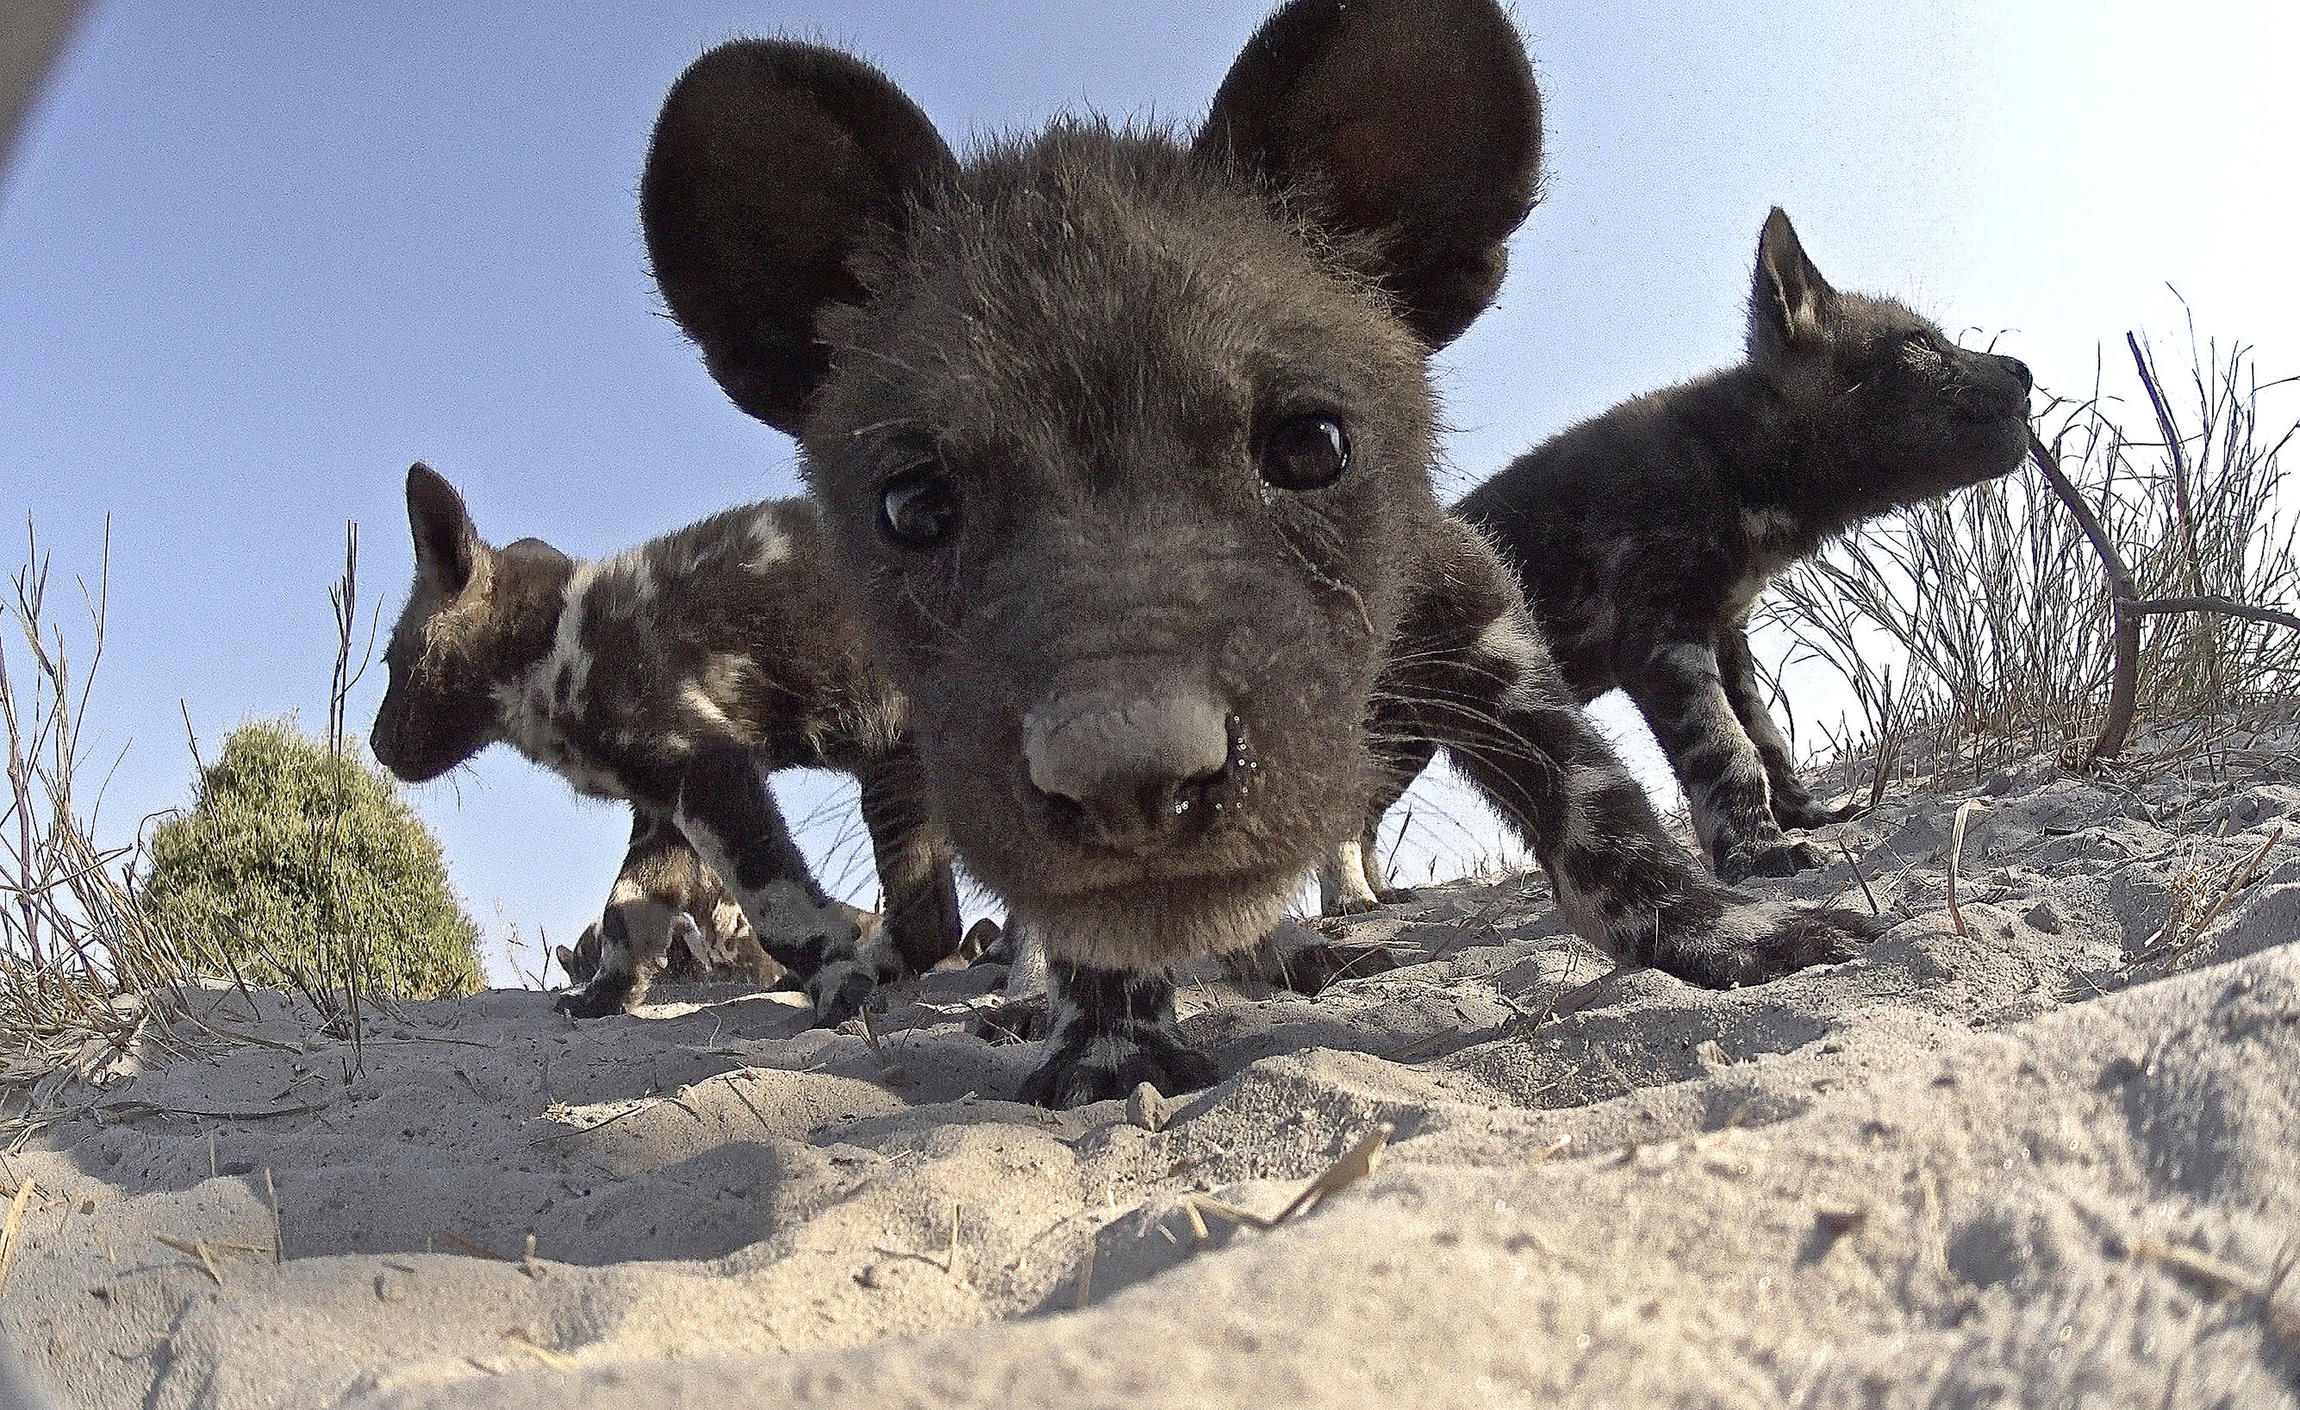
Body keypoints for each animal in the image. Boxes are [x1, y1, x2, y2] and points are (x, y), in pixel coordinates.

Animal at [370, 462, 961, 1021]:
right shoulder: (662, 808)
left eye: (393, 663)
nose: (376, 745)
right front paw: (602, 997)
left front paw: (838, 983)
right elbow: (624, 911)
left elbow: (777, 906)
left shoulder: (710, 771)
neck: (550, 646)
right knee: (933, 925)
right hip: (899, 769)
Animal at [639, 0, 1876, 1104]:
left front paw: (1725, 933)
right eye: (911, 505)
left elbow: (1599, 796)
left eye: (1310, 444)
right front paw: (1110, 1046)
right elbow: (1089, 929)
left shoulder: (1470, 614)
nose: (1129, 778)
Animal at [1334, 212, 2033, 897]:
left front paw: (1804, 815)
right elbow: (1727, 752)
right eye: (1922, 345)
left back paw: (1378, 895)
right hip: (1401, 726)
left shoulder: (1726, 636)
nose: (2023, 371)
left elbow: (1768, 740)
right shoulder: (1662, 640)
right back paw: (1353, 902)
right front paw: (1756, 853)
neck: (1732, 459)